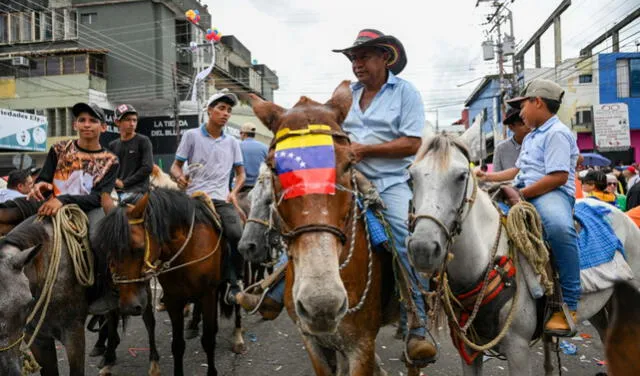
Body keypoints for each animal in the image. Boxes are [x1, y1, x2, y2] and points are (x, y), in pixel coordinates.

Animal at [96, 188, 244, 376]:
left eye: (138, 248)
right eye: (106, 250)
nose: (128, 307)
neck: (186, 249)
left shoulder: (208, 295)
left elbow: (208, 340)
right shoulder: (174, 300)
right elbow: (178, 345)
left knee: (237, 300)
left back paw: (238, 337)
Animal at [408, 132, 636, 376]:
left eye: (461, 176)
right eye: (411, 177)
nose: (422, 249)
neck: (483, 262)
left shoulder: (518, 349)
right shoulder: (468, 349)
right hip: (600, 308)